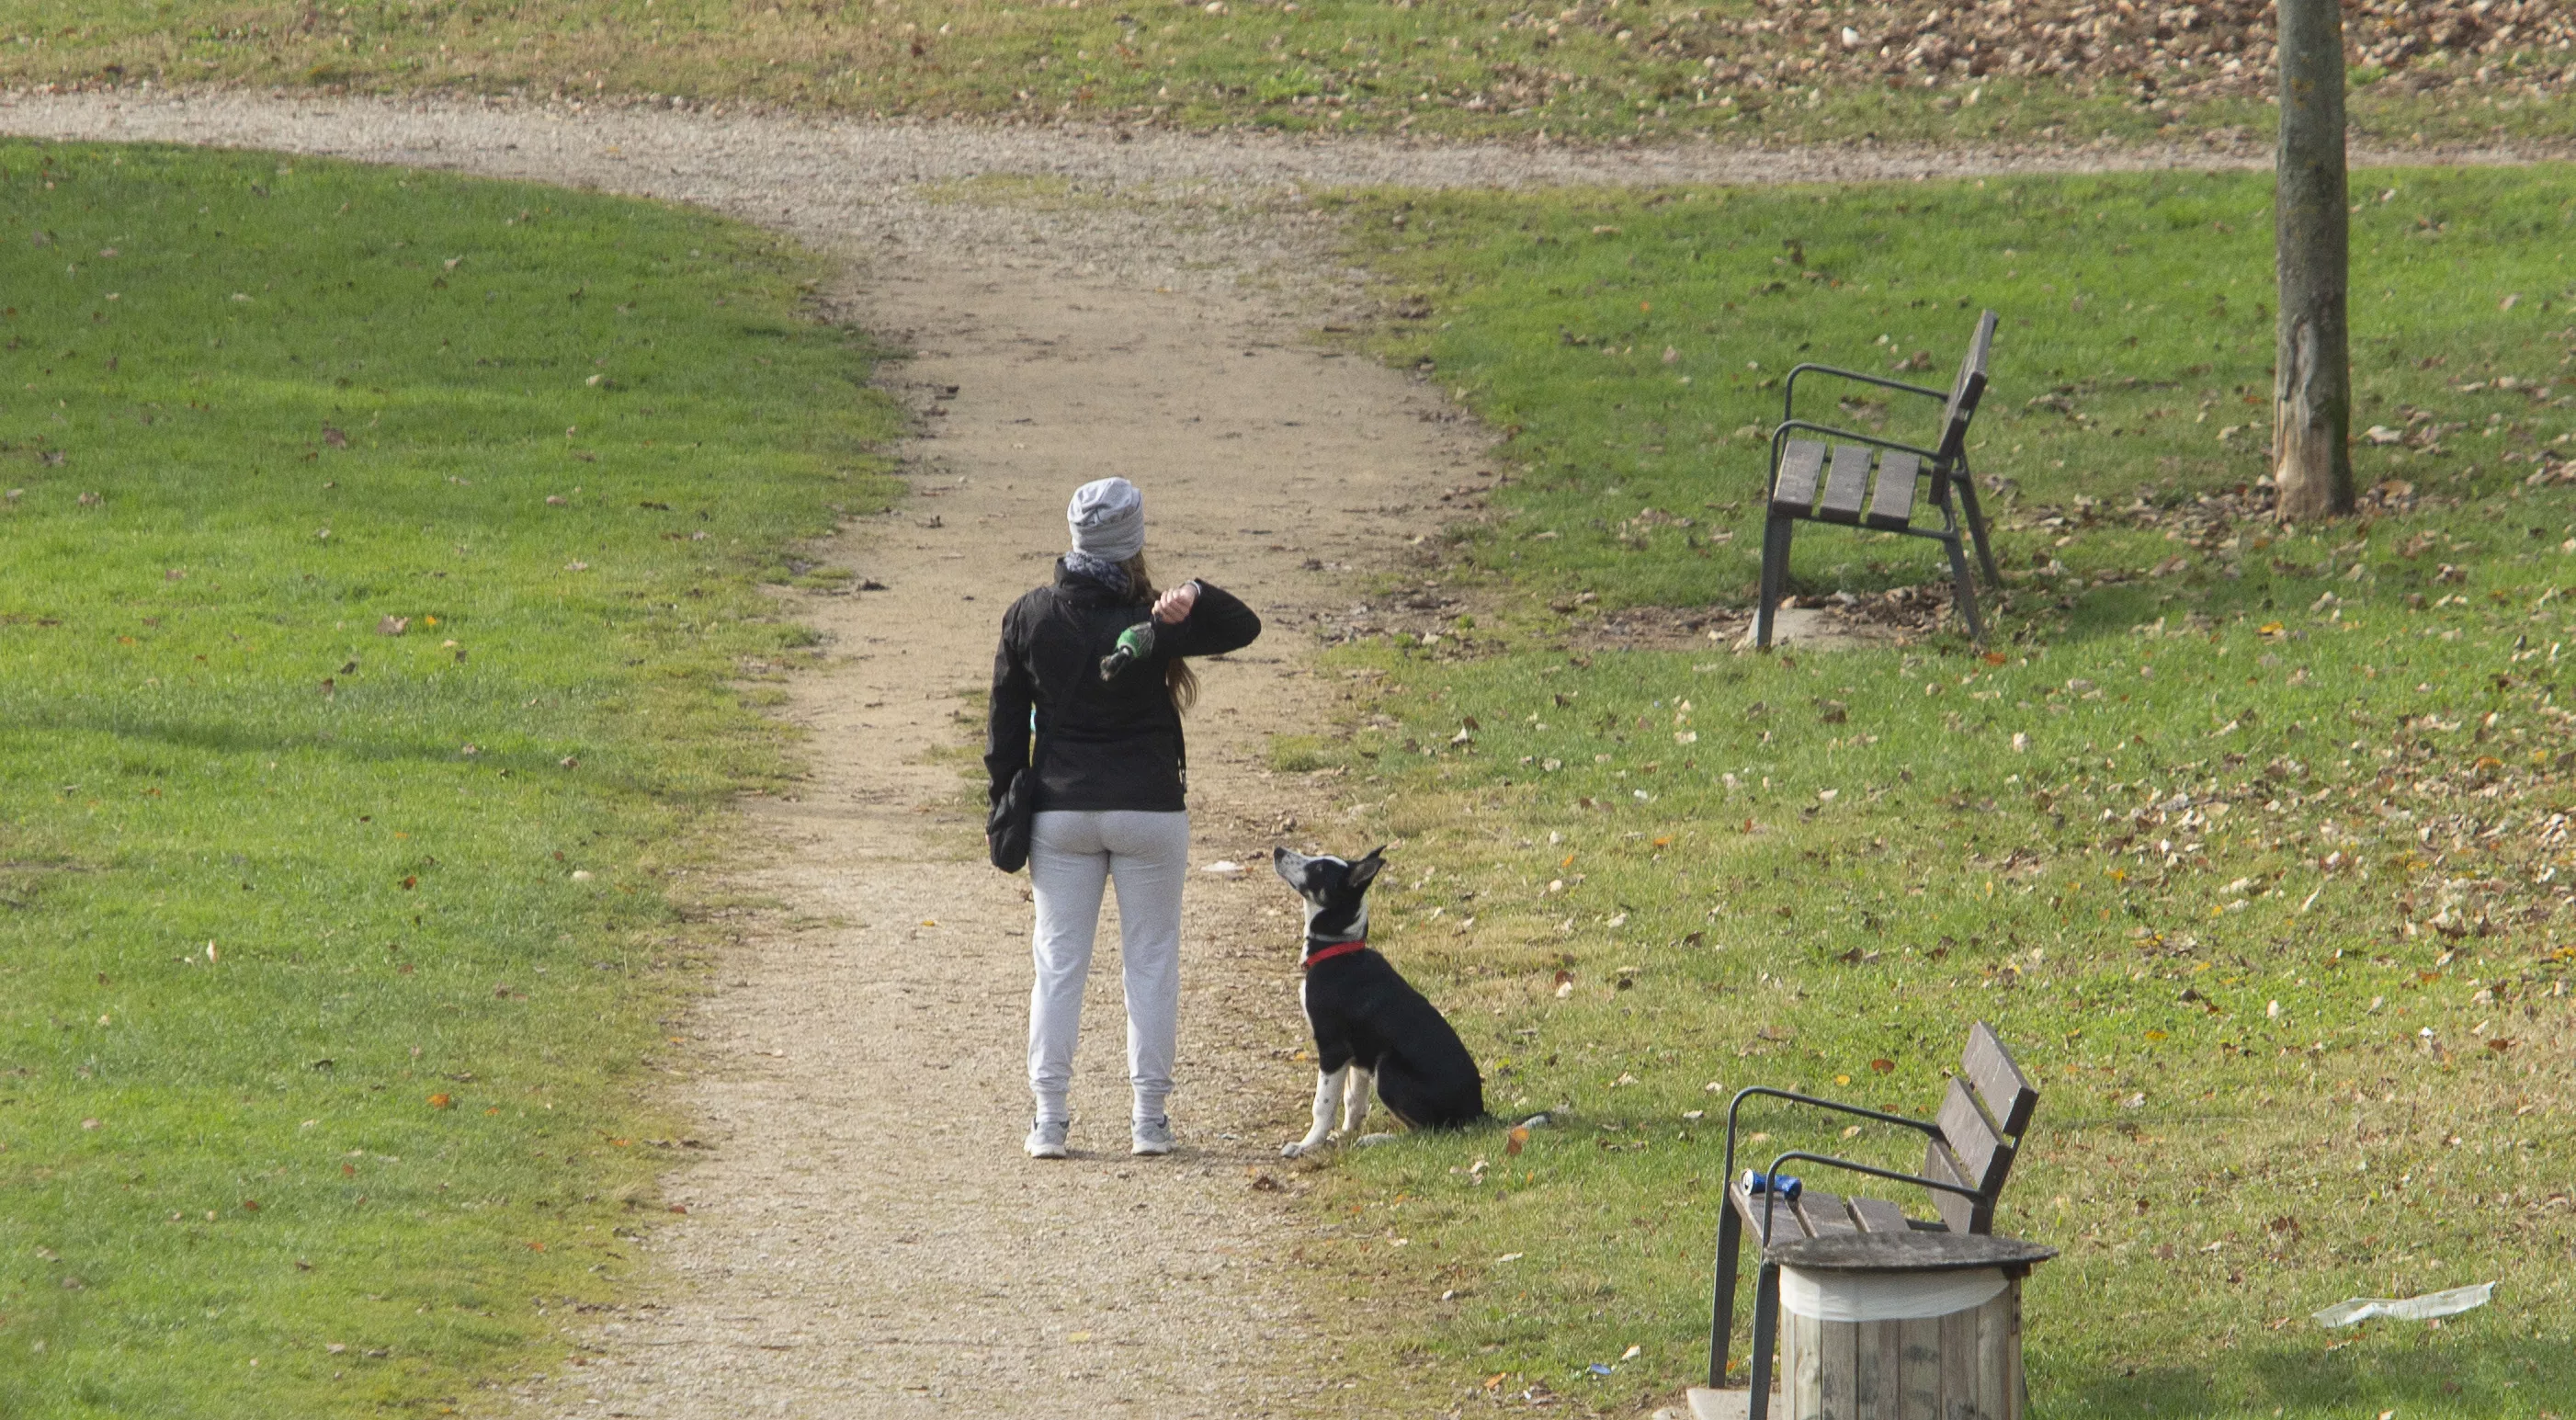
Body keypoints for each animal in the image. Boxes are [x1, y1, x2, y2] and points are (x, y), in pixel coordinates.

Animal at [1272, 845, 1483, 1154]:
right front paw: (1344, 1134)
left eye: (1319, 869)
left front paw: (1306, 1145)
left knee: (1431, 1130)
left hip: (1387, 1068)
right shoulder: (1359, 1056)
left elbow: (1322, 1104)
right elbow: (1353, 1100)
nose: (1278, 850)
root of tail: (1478, 1113)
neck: (1338, 950)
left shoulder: (1333, 1048)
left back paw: (1377, 1139)